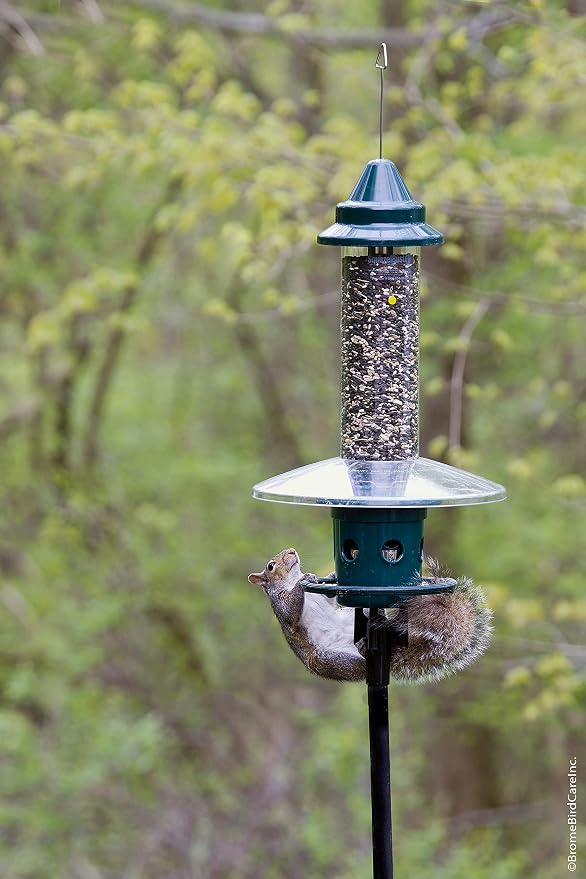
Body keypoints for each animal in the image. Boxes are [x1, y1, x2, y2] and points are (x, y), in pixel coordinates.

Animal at [248, 548, 492, 684]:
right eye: (271, 566)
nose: (291, 551)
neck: (289, 581)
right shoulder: (280, 605)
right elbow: (291, 611)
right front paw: (304, 579)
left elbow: (331, 600)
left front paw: (328, 575)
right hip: (329, 659)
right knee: (359, 664)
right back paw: (365, 650)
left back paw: (379, 623)